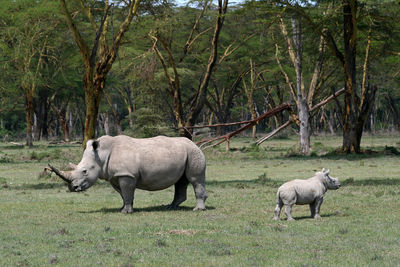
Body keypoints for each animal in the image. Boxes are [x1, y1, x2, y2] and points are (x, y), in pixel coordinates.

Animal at [48, 135, 208, 215]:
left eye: (84, 171)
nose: (72, 188)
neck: (101, 155)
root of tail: (194, 143)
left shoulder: (126, 174)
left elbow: (127, 192)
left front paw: (126, 212)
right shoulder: (115, 176)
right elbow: (123, 194)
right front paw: (123, 209)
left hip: (193, 152)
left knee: (195, 180)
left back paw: (197, 210)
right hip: (185, 153)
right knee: (181, 181)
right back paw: (170, 207)